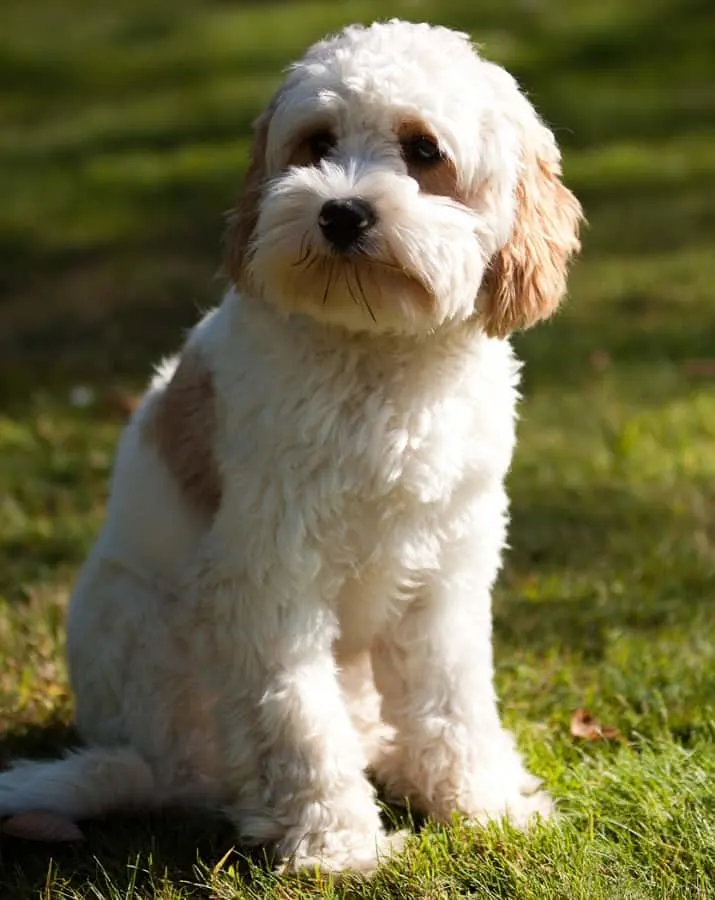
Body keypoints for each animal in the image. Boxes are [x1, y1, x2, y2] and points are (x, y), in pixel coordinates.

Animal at [0, 21, 580, 876]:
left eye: (423, 151)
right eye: (316, 143)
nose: (340, 213)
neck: (375, 358)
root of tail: (139, 765)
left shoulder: (445, 572)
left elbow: (452, 701)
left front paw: (482, 806)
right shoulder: (270, 577)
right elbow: (298, 721)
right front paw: (335, 844)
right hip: (160, 645)